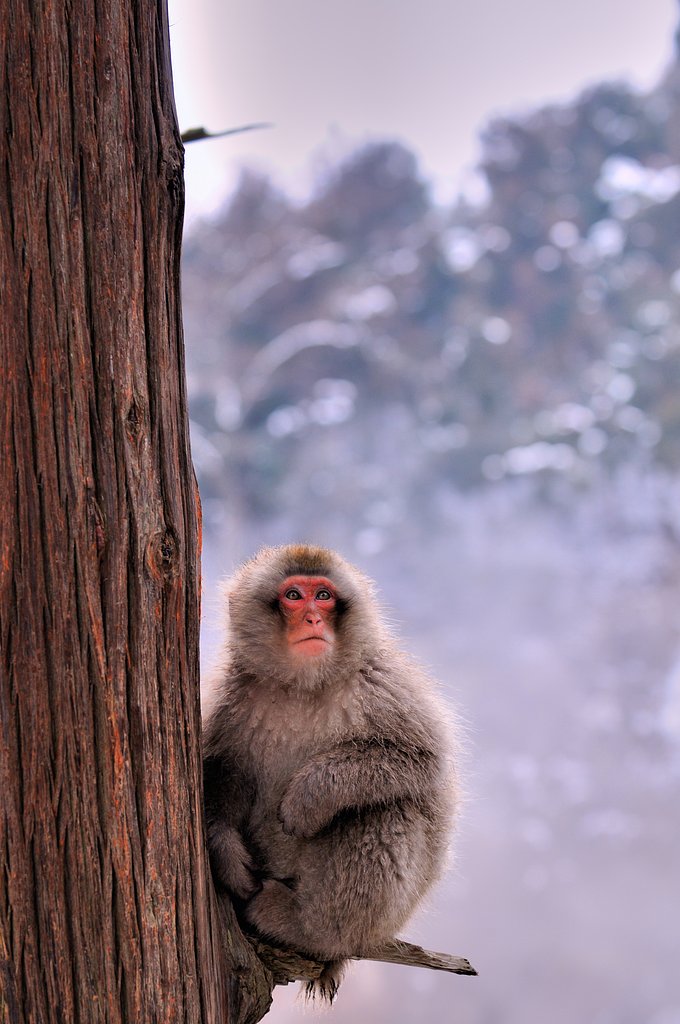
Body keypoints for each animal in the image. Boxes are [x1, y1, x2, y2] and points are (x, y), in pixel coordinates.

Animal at [202, 544, 458, 1000]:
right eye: (293, 596)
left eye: (323, 596)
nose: (313, 619)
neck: (304, 685)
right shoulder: (232, 696)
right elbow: (224, 772)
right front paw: (226, 849)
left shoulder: (380, 682)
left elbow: (420, 760)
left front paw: (309, 797)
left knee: (382, 812)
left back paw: (307, 929)